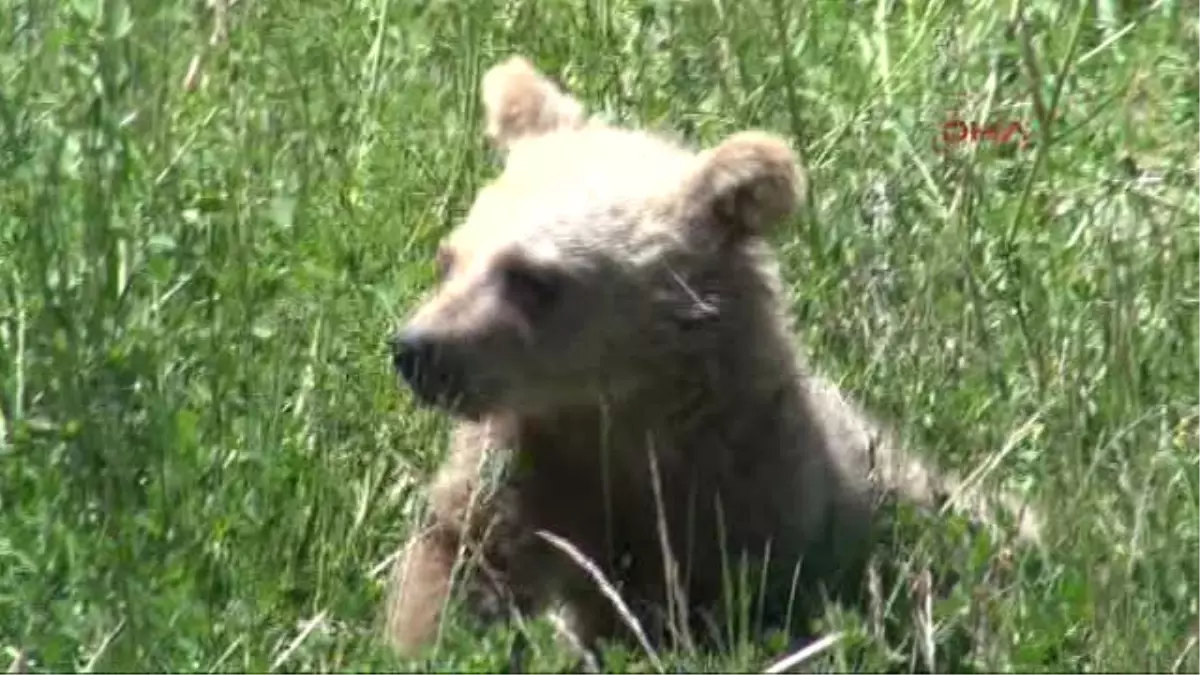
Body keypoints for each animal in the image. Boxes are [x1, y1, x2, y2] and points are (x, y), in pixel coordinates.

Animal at [384, 56, 1041, 662]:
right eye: (450, 258)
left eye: (530, 277)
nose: (416, 348)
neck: (619, 414)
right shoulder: (525, 474)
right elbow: (455, 565)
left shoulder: (742, 505)